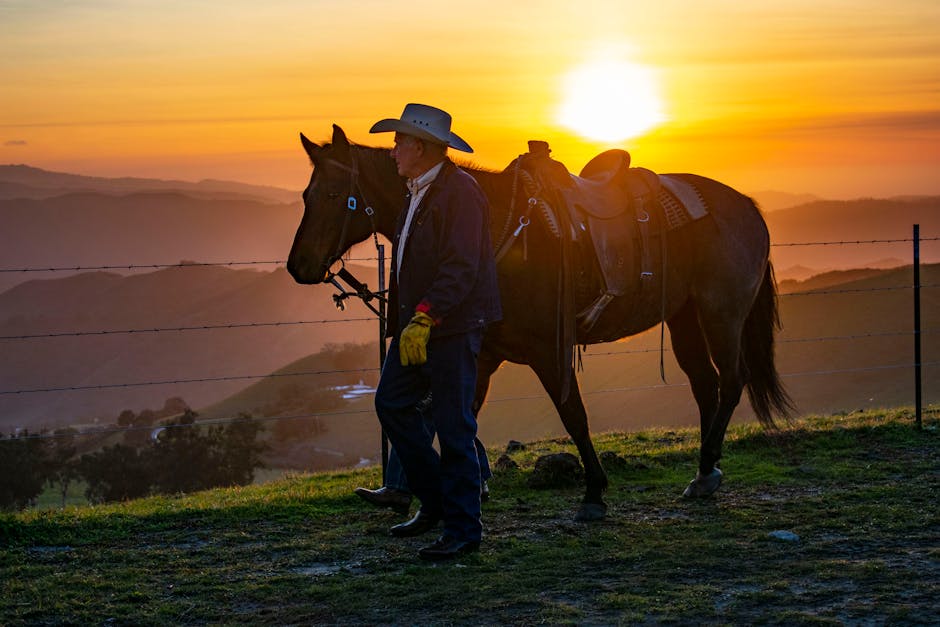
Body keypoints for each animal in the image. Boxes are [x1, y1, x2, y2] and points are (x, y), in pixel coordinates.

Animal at [288, 125, 792, 524]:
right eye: (306, 195)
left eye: (334, 195)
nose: (298, 266)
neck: (495, 227)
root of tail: (747, 207)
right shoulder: (482, 355)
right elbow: (458, 416)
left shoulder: (548, 351)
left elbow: (574, 416)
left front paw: (593, 493)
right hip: (684, 316)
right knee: (705, 384)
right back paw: (704, 473)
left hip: (721, 314)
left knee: (731, 381)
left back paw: (708, 466)